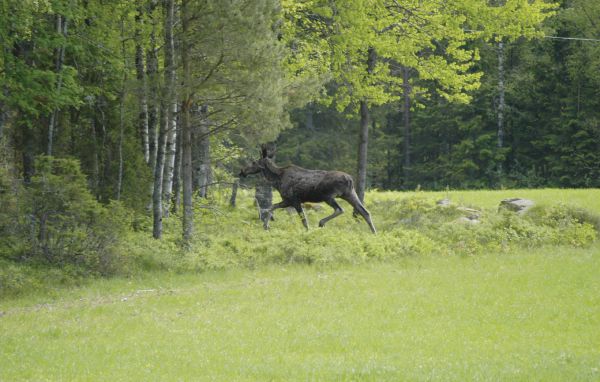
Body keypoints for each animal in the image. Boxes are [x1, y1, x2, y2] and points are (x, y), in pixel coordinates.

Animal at [238, 148, 376, 234]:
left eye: (254, 162)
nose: (242, 171)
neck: (276, 179)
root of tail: (350, 179)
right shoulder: (287, 201)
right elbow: (272, 207)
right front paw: (266, 226)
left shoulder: (293, 200)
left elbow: (303, 220)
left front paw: (308, 232)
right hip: (350, 194)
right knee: (365, 212)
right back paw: (374, 233)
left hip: (329, 196)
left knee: (340, 209)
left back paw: (321, 222)